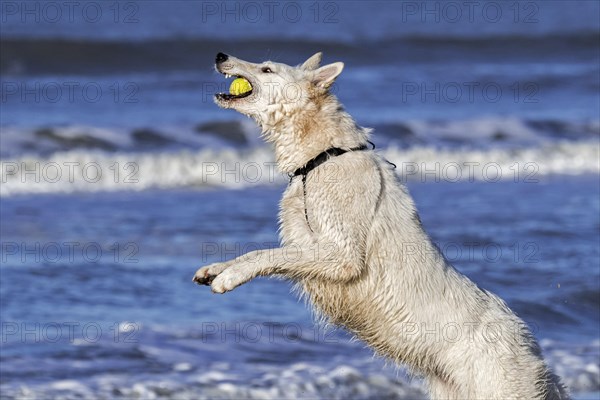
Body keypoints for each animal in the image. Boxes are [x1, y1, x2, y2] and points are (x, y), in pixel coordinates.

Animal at [193, 53, 568, 400]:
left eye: (267, 69)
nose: (221, 56)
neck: (324, 155)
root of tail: (539, 358)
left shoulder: (342, 257)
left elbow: (265, 255)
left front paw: (229, 277)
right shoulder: (307, 244)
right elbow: (257, 253)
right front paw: (218, 268)